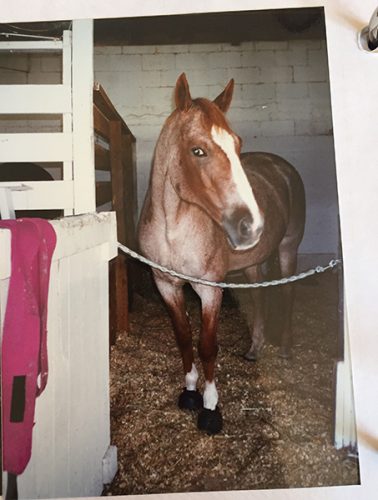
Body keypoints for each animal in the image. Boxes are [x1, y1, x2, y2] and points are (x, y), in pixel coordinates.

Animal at [137, 73, 306, 434]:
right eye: (197, 150)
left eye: (237, 144)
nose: (252, 225)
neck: (173, 229)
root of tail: (282, 167)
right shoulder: (166, 286)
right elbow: (184, 338)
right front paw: (189, 391)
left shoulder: (210, 290)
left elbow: (207, 346)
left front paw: (210, 407)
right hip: (254, 264)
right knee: (259, 298)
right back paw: (255, 349)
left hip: (288, 249)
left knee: (287, 292)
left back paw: (285, 347)